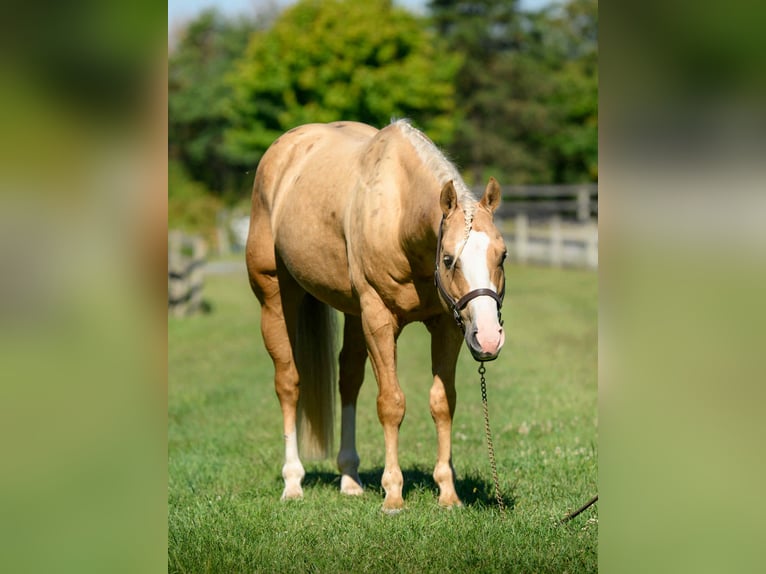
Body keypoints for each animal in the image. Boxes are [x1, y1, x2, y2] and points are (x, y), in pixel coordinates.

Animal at [246, 119, 507, 512]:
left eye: (502, 256)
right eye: (449, 259)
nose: (489, 338)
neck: (399, 217)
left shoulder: (447, 326)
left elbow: (443, 402)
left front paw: (447, 493)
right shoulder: (379, 321)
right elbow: (391, 403)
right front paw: (393, 495)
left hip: (354, 314)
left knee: (349, 379)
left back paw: (350, 479)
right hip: (275, 300)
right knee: (288, 382)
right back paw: (293, 482)